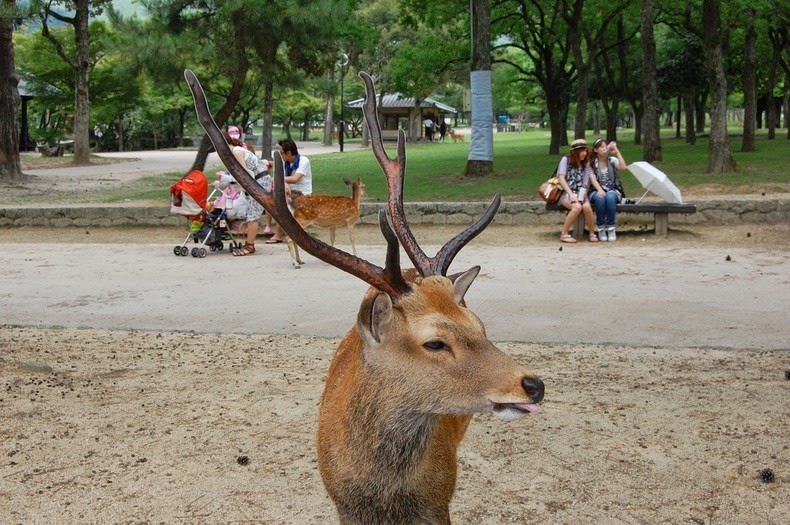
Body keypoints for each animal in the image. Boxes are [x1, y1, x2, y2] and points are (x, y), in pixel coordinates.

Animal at [186, 70, 544, 524]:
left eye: (480, 324)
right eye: (434, 342)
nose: (533, 385)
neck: (384, 496)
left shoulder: (440, 503)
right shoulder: (342, 505)